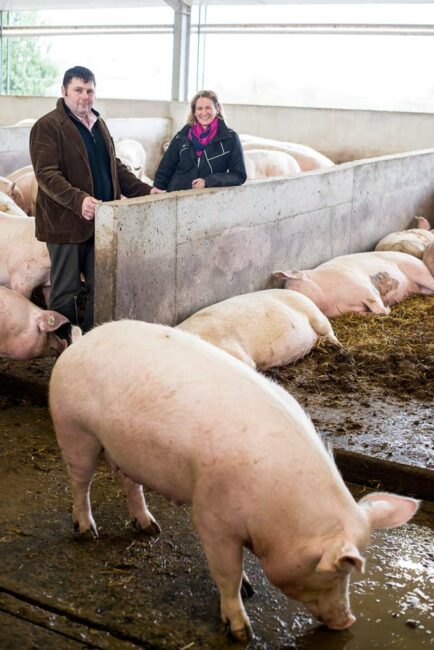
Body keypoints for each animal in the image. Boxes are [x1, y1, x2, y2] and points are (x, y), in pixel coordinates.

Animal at [49, 318, 418, 636]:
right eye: (334, 570)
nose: (347, 621)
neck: (279, 513)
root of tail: (80, 342)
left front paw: (249, 590)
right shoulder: (212, 516)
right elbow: (227, 571)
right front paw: (242, 630)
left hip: (126, 451)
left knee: (130, 482)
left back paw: (150, 527)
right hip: (72, 429)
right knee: (80, 482)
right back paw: (87, 531)